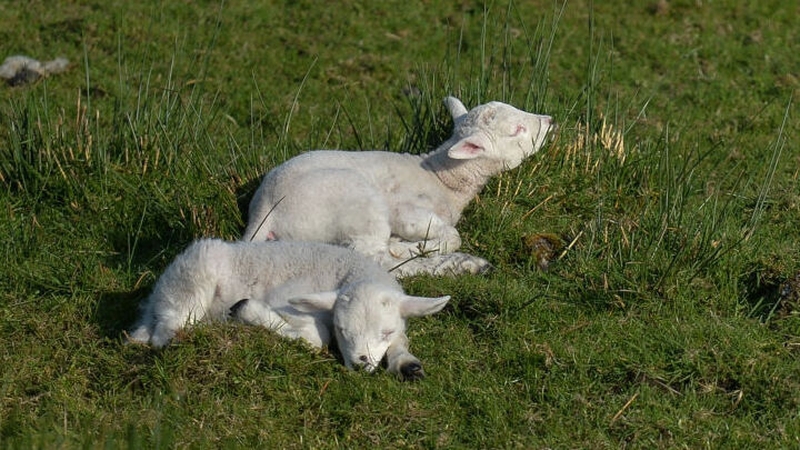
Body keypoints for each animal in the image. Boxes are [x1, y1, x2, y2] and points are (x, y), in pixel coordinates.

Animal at [128, 238, 450, 380]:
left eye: (386, 331)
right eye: (342, 330)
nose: (360, 365)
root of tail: (156, 295)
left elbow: (402, 340)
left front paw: (407, 364)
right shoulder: (288, 299)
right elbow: (315, 339)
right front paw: (248, 311)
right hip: (191, 279)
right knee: (167, 330)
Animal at [242, 96, 555, 278]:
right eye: (516, 130)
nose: (550, 120)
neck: (444, 180)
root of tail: (266, 211)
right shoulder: (404, 211)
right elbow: (451, 235)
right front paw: (418, 246)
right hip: (358, 204)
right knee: (378, 261)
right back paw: (460, 264)